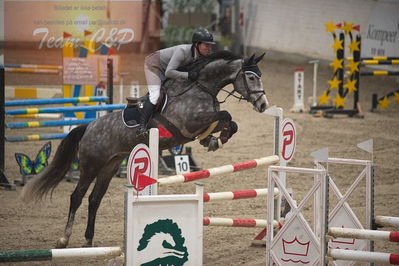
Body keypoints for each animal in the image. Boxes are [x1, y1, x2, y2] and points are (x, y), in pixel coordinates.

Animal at [21, 51, 268, 248]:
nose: (263, 104)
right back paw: (64, 239)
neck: (201, 87)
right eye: (251, 76)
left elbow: (230, 121)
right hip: (91, 165)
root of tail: (89, 127)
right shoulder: (189, 123)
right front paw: (216, 139)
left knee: (94, 199)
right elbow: (225, 114)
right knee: (77, 197)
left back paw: (88, 240)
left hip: (110, 166)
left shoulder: (202, 122)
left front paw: (215, 140)